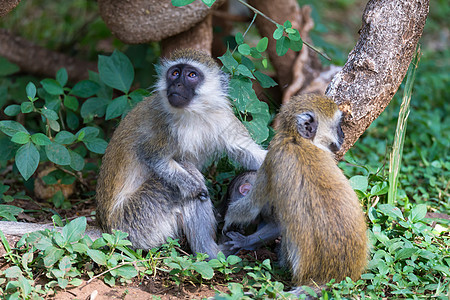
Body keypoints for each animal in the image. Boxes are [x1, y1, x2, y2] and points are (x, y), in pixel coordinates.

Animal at [96, 48, 268, 258]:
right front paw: (195, 188)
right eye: (175, 73)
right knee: (183, 180)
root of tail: (106, 227)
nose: (176, 84)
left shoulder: (222, 116)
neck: (194, 113)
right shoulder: (164, 126)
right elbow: (153, 157)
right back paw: (212, 253)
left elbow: (248, 153)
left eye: (192, 75)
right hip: (135, 221)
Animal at [223, 94, 368, 296]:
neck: (296, 138)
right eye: (338, 125)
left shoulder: (271, 157)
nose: (343, 135)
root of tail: (329, 277)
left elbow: (252, 206)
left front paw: (235, 230)